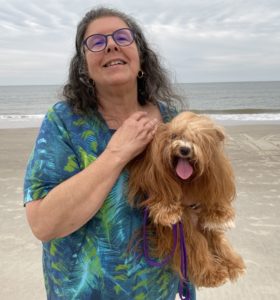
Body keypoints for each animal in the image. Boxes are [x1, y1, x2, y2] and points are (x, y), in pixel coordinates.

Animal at [128, 111, 246, 288]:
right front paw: (168, 212)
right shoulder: (158, 180)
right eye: (174, 136)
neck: (186, 182)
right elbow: (197, 244)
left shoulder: (216, 176)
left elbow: (215, 224)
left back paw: (233, 264)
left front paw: (219, 216)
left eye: (198, 138)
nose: (184, 149)